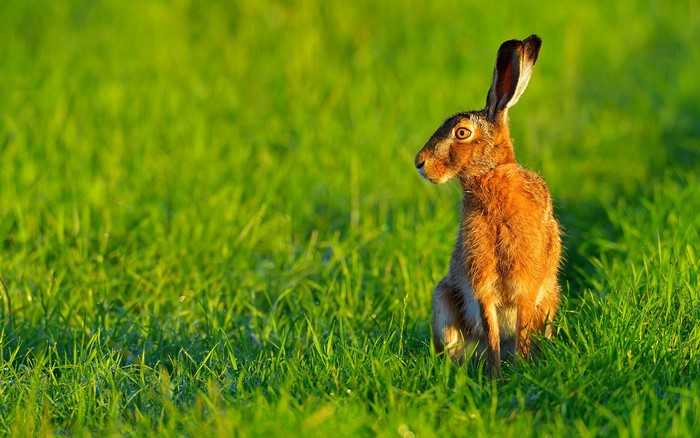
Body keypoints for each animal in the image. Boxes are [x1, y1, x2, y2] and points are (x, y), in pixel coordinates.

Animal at [414, 35, 561, 378]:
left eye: (462, 133)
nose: (419, 163)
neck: (490, 178)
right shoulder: (481, 282)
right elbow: (490, 328)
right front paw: (497, 375)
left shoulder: (526, 282)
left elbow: (522, 327)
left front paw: (519, 369)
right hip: (443, 299)